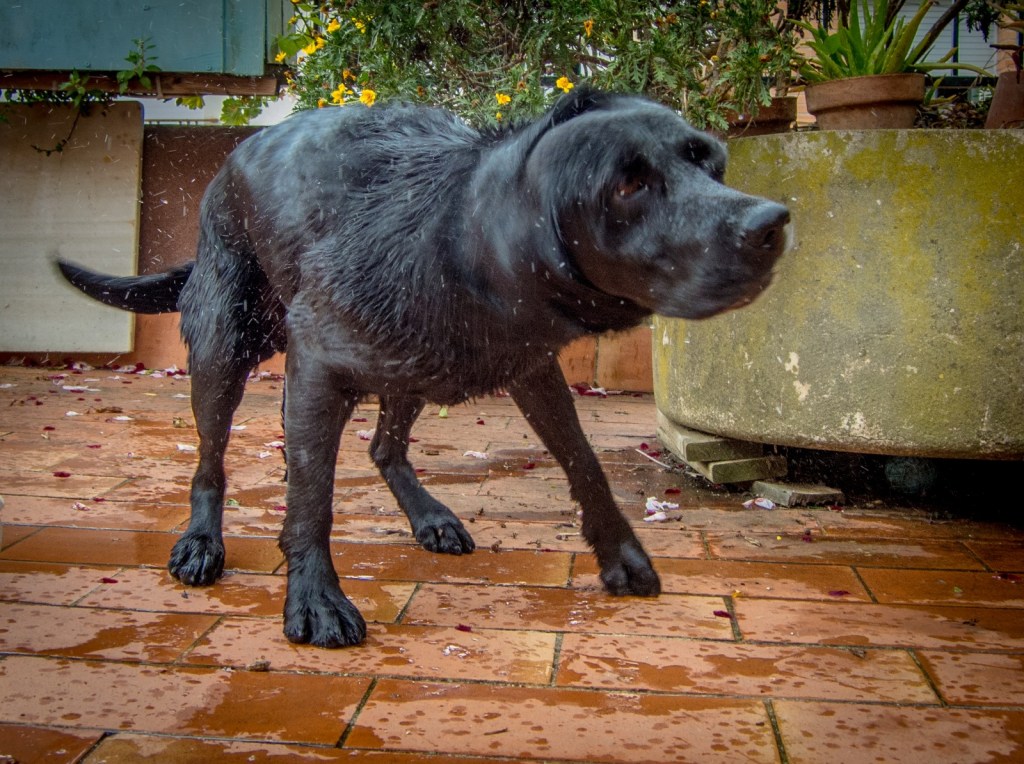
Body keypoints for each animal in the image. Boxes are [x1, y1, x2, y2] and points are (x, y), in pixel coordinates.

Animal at [59, 88, 789, 648]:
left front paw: (621, 553)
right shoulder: (315, 367)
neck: (456, 243)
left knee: (384, 447)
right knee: (211, 461)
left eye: (712, 163)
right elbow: (311, 500)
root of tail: (233, 158)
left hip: (404, 373)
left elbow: (584, 461)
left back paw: (427, 514)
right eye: (629, 184)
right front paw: (315, 598)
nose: (771, 223)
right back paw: (201, 541)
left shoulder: (533, 371)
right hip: (223, 345)